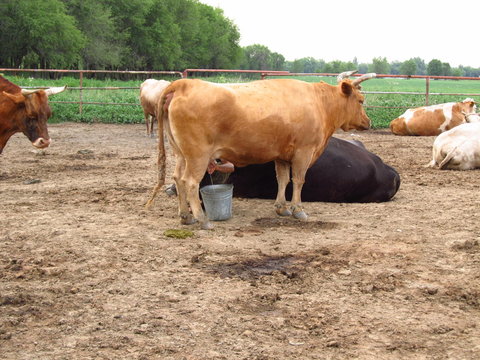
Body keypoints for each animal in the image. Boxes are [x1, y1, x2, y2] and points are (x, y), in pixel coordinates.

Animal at [146, 70, 376, 229]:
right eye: (361, 100)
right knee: (190, 182)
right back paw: (202, 219)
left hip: (181, 153)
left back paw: (186, 216)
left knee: (177, 178)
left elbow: (282, 180)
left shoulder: (282, 155)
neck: (318, 102)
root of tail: (184, 83)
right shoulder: (304, 151)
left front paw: (281, 207)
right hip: (198, 155)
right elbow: (298, 180)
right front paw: (298, 209)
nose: (368, 122)